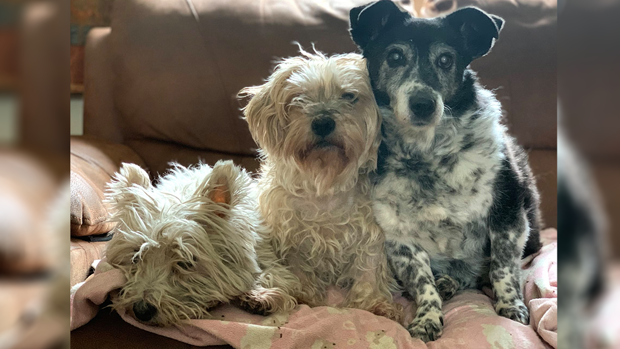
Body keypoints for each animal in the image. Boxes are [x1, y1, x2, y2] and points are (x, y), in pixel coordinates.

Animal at [237, 49, 402, 320]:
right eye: (299, 97)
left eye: (349, 96)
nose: (323, 122)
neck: (325, 181)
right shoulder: (290, 237)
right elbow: (298, 269)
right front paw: (306, 295)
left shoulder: (372, 233)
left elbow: (369, 268)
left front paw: (374, 303)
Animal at [348, 1, 544, 342]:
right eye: (395, 57)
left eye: (445, 60)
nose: (423, 103)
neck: (428, 156)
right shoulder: (399, 238)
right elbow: (421, 281)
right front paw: (427, 317)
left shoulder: (507, 215)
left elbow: (503, 267)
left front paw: (511, 306)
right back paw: (446, 284)